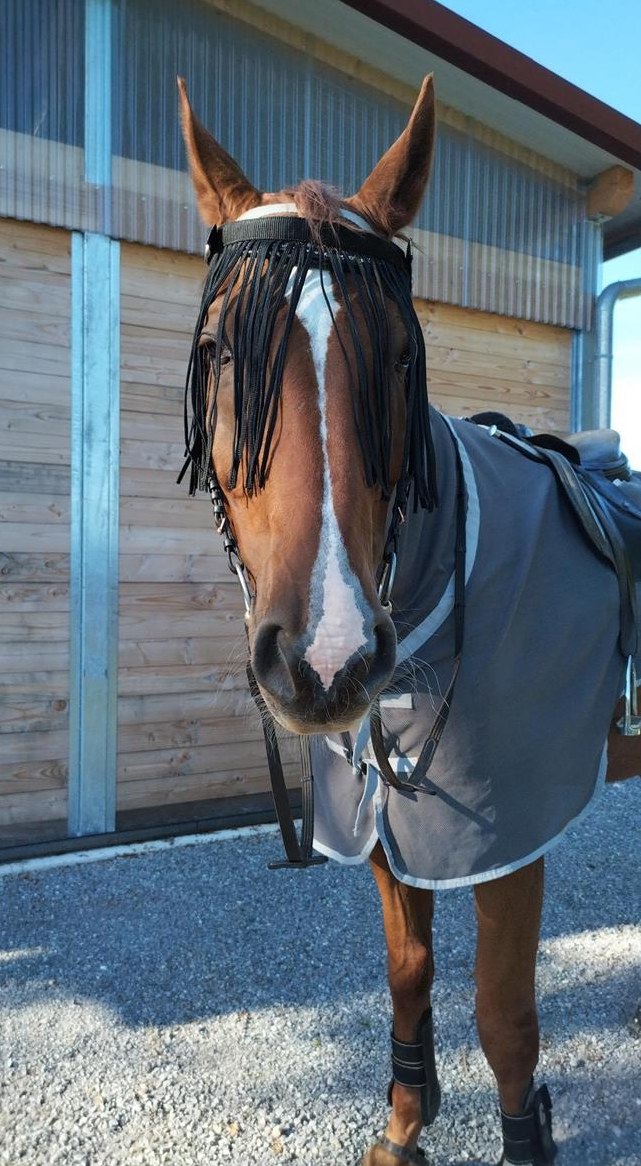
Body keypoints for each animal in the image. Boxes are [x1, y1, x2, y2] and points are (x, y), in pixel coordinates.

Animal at [177, 75, 641, 1166]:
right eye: (219, 353)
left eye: (395, 357)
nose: (327, 657)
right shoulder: (388, 825)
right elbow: (408, 977)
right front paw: (403, 1126)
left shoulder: (508, 836)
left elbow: (502, 1018)